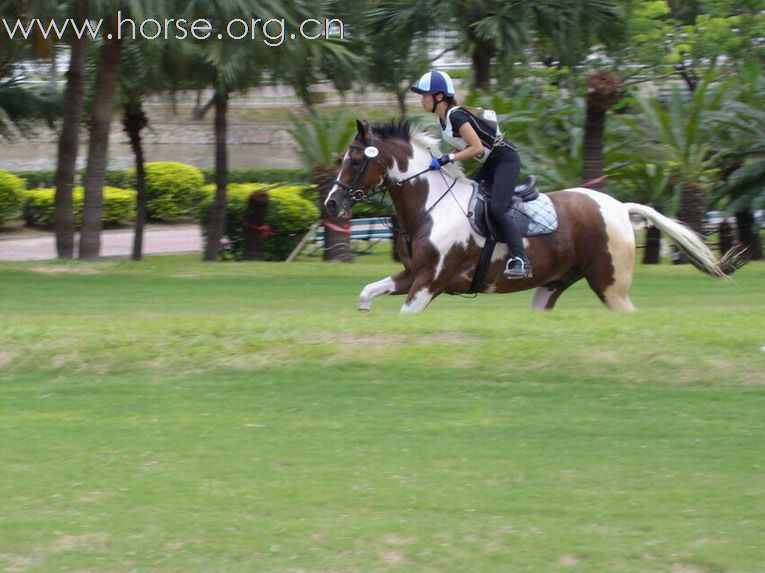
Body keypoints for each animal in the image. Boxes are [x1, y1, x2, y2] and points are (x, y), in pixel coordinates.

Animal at [324, 120, 740, 316]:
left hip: (611, 286)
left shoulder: (430, 281)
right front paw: (364, 314)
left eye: (356, 160)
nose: (330, 204)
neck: (430, 205)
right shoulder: (412, 275)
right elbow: (367, 293)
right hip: (552, 286)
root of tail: (620, 207)